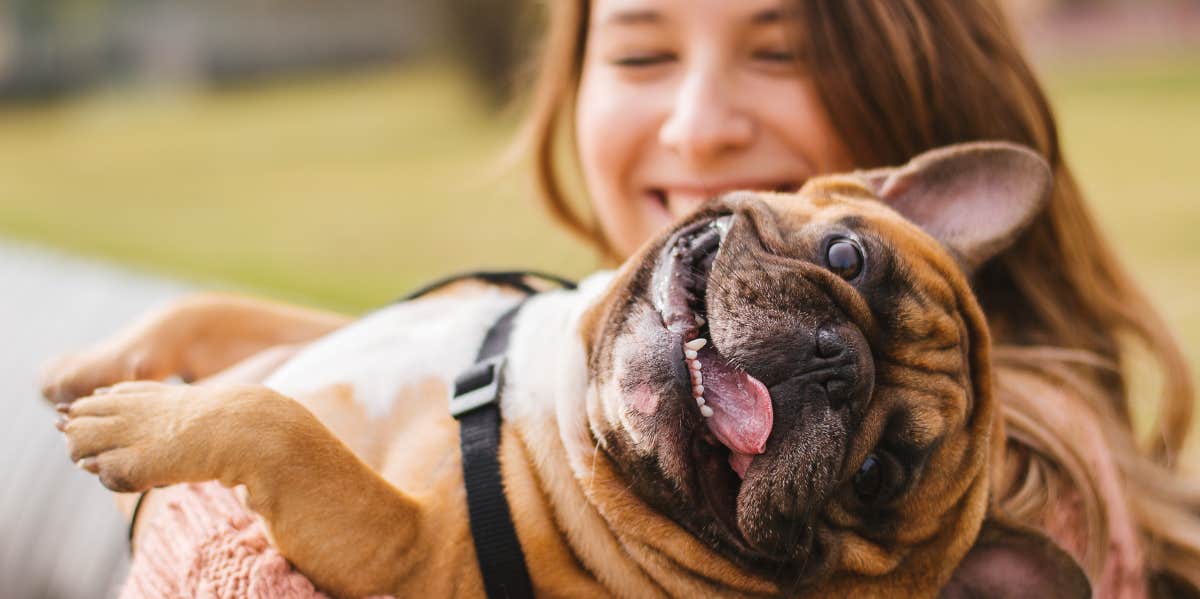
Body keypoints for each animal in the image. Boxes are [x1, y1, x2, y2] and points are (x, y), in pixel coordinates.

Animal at [42, 140, 1094, 595]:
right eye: (847, 256)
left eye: (875, 475)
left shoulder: (405, 555)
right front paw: (89, 366)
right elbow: (215, 311)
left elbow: (280, 423)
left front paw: (136, 424)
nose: (835, 366)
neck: (550, 393)